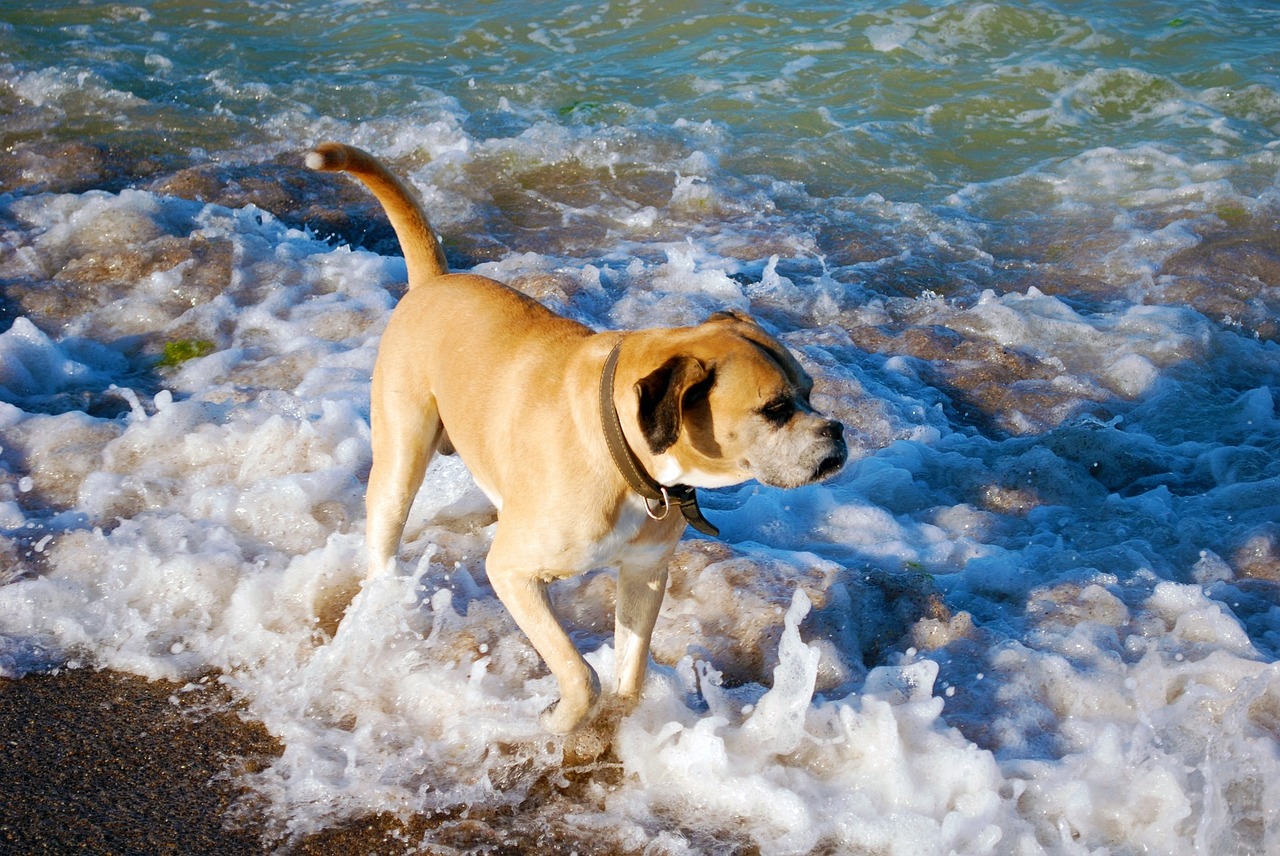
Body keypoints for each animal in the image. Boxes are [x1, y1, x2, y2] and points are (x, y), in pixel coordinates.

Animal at [305, 143, 849, 731]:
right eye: (775, 409)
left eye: (810, 392)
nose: (837, 430)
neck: (626, 457)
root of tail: (433, 282)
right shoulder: (512, 571)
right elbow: (580, 674)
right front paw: (558, 724)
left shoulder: (643, 574)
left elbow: (630, 675)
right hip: (399, 463)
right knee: (386, 528)